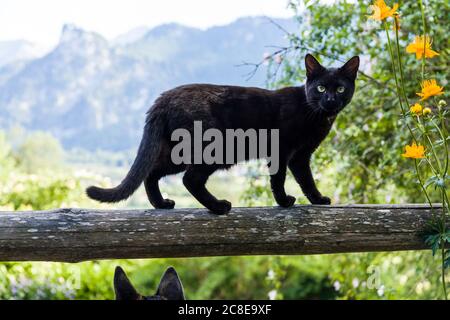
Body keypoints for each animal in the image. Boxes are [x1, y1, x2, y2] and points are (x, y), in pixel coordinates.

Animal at [87, 54, 358, 215]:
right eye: (320, 88)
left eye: (340, 89)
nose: (330, 100)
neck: (315, 114)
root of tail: (163, 99)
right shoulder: (281, 151)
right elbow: (279, 179)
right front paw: (283, 201)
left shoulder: (301, 157)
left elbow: (307, 180)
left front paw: (317, 199)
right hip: (215, 149)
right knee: (190, 179)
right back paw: (219, 207)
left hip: (177, 153)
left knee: (152, 173)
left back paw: (162, 204)